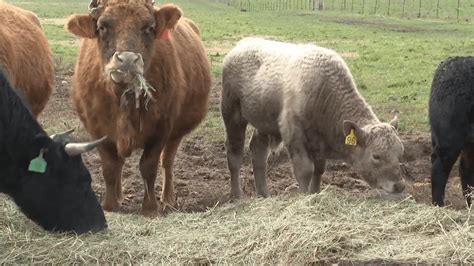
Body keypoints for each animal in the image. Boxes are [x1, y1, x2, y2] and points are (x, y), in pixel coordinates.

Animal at [65, 0, 211, 216]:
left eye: (149, 27)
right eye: (102, 26)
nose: (127, 60)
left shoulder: (161, 130)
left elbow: (148, 167)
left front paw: (150, 207)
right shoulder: (98, 130)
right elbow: (110, 167)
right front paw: (110, 205)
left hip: (176, 133)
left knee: (167, 162)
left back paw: (168, 199)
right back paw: (119, 195)